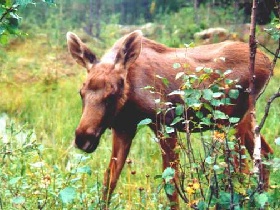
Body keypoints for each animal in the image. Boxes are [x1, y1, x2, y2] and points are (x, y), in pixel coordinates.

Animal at [66, 30, 272, 209]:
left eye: (112, 94)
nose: (83, 138)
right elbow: (109, 180)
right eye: (81, 92)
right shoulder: (124, 127)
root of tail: (268, 63)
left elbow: (171, 183)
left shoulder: (165, 122)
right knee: (265, 154)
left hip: (232, 119)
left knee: (242, 168)